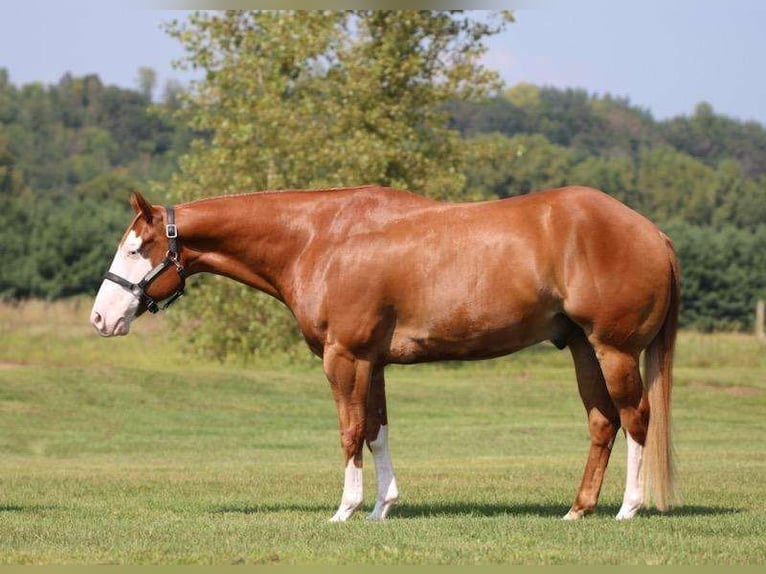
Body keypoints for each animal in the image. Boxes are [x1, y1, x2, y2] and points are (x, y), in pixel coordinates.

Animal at [91, 187, 684, 524]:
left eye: (137, 248)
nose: (100, 318)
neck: (321, 239)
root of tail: (654, 233)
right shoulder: (371, 362)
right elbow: (377, 430)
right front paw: (381, 507)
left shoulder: (345, 357)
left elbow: (350, 431)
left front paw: (345, 509)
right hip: (583, 348)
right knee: (603, 422)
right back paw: (578, 510)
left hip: (614, 349)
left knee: (636, 418)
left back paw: (628, 509)